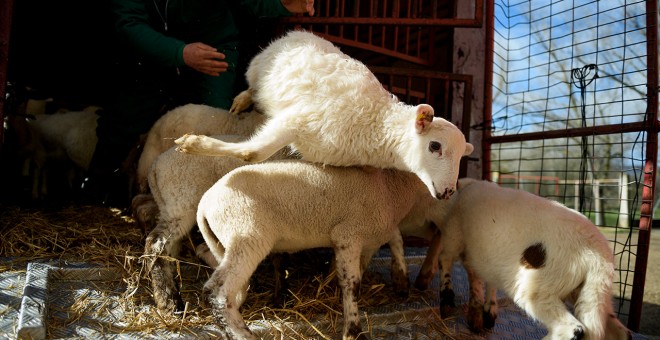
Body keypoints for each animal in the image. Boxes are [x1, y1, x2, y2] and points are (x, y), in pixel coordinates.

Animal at [174, 29, 474, 199]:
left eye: (462, 156)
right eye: (434, 146)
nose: (448, 192)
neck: (375, 122)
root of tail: (302, 32)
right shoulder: (296, 118)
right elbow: (254, 153)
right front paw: (194, 144)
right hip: (257, 67)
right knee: (252, 86)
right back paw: (242, 99)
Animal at [193, 160, 446, 340]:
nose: (446, 193)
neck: (391, 187)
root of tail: (204, 203)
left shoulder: (373, 232)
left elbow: (394, 239)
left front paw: (401, 281)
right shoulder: (349, 233)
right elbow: (352, 283)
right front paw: (353, 329)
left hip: (223, 240)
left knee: (209, 258)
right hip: (246, 234)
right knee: (217, 290)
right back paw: (242, 334)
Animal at [416, 179, 632, 338]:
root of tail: (598, 258)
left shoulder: (455, 232)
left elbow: (445, 260)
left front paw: (448, 302)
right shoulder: (486, 256)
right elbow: (484, 277)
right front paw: (486, 313)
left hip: (538, 289)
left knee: (573, 329)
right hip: (593, 293)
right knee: (621, 332)